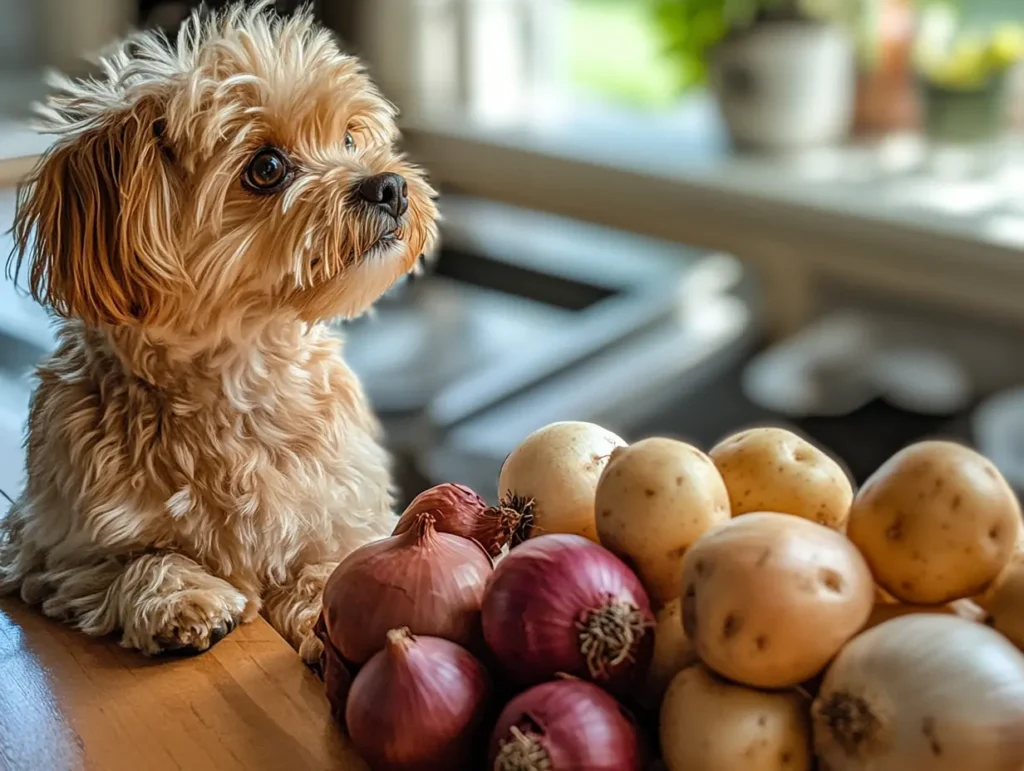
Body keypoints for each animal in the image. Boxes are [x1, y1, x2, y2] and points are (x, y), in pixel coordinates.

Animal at [0, 0, 436, 663]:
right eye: (267, 168)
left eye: (349, 137)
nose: (388, 185)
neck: (243, 378)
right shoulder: (48, 549)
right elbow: (141, 558)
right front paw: (181, 595)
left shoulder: (346, 516)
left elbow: (334, 563)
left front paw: (323, 610)